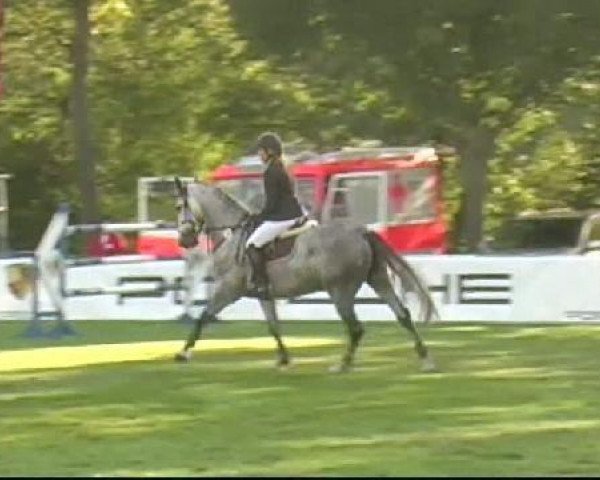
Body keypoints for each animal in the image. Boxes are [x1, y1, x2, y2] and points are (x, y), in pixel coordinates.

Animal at [172, 178, 436, 374]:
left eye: (178, 206)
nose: (184, 241)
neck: (232, 235)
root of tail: (361, 232)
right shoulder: (264, 294)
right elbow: (274, 327)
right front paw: (284, 359)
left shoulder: (229, 289)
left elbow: (203, 317)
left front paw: (183, 353)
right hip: (378, 280)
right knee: (403, 315)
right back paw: (425, 359)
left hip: (340, 290)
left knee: (356, 328)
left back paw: (342, 365)